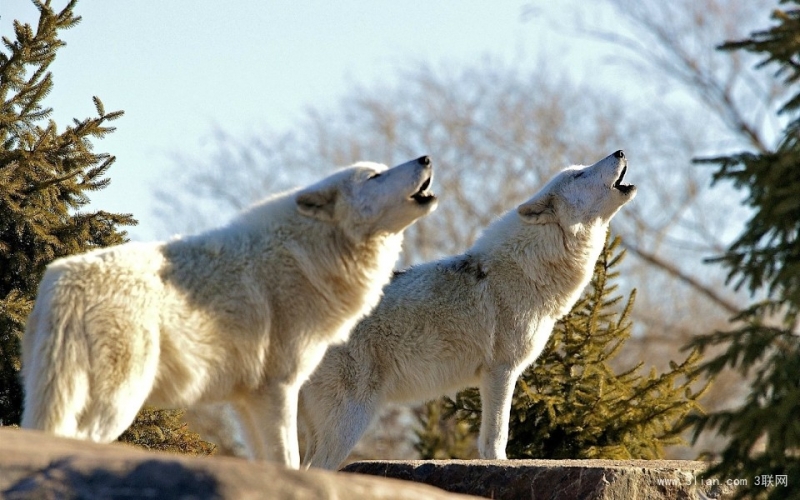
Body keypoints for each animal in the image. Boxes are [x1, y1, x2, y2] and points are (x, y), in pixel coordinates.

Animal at [20, 157, 438, 468]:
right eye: (375, 176)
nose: (425, 158)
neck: (307, 256)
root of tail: (63, 281)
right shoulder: (279, 389)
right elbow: (288, 461)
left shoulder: (247, 401)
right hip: (118, 403)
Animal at [300, 149, 636, 468]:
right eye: (579, 175)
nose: (620, 152)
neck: (527, 269)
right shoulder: (500, 371)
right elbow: (496, 436)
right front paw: (500, 464)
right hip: (350, 421)